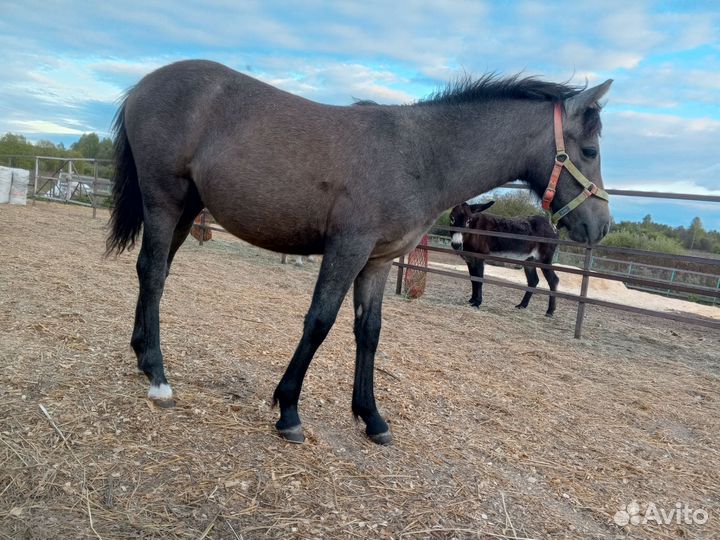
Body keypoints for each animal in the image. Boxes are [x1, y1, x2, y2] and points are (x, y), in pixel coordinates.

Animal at [107, 61, 612, 446]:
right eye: (589, 150)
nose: (601, 226)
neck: (419, 154)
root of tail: (144, 85)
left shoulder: (379, 261)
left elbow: (369, 331)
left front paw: (372, 417)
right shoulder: (347, 248)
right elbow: (320, 321)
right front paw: (288, 410)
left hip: (187, 207)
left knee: (157, 272)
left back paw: (142, 356)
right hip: (163, 199)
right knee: (152, 271)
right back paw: (158, 375)